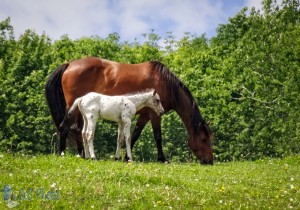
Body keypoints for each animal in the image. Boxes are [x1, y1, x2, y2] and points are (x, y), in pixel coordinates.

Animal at [44, 56, 213, 165]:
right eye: (204, 139)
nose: (210, 161)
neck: (165, 83)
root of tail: (69, 64)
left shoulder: (144, 115)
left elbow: (134, 136)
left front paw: (125, 157)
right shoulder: (154, 114)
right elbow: (157, 136)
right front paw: (162, 159)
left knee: (79, 131)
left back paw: (83, 155)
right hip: (73, 109)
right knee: (67, 127)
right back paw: (65, 153)